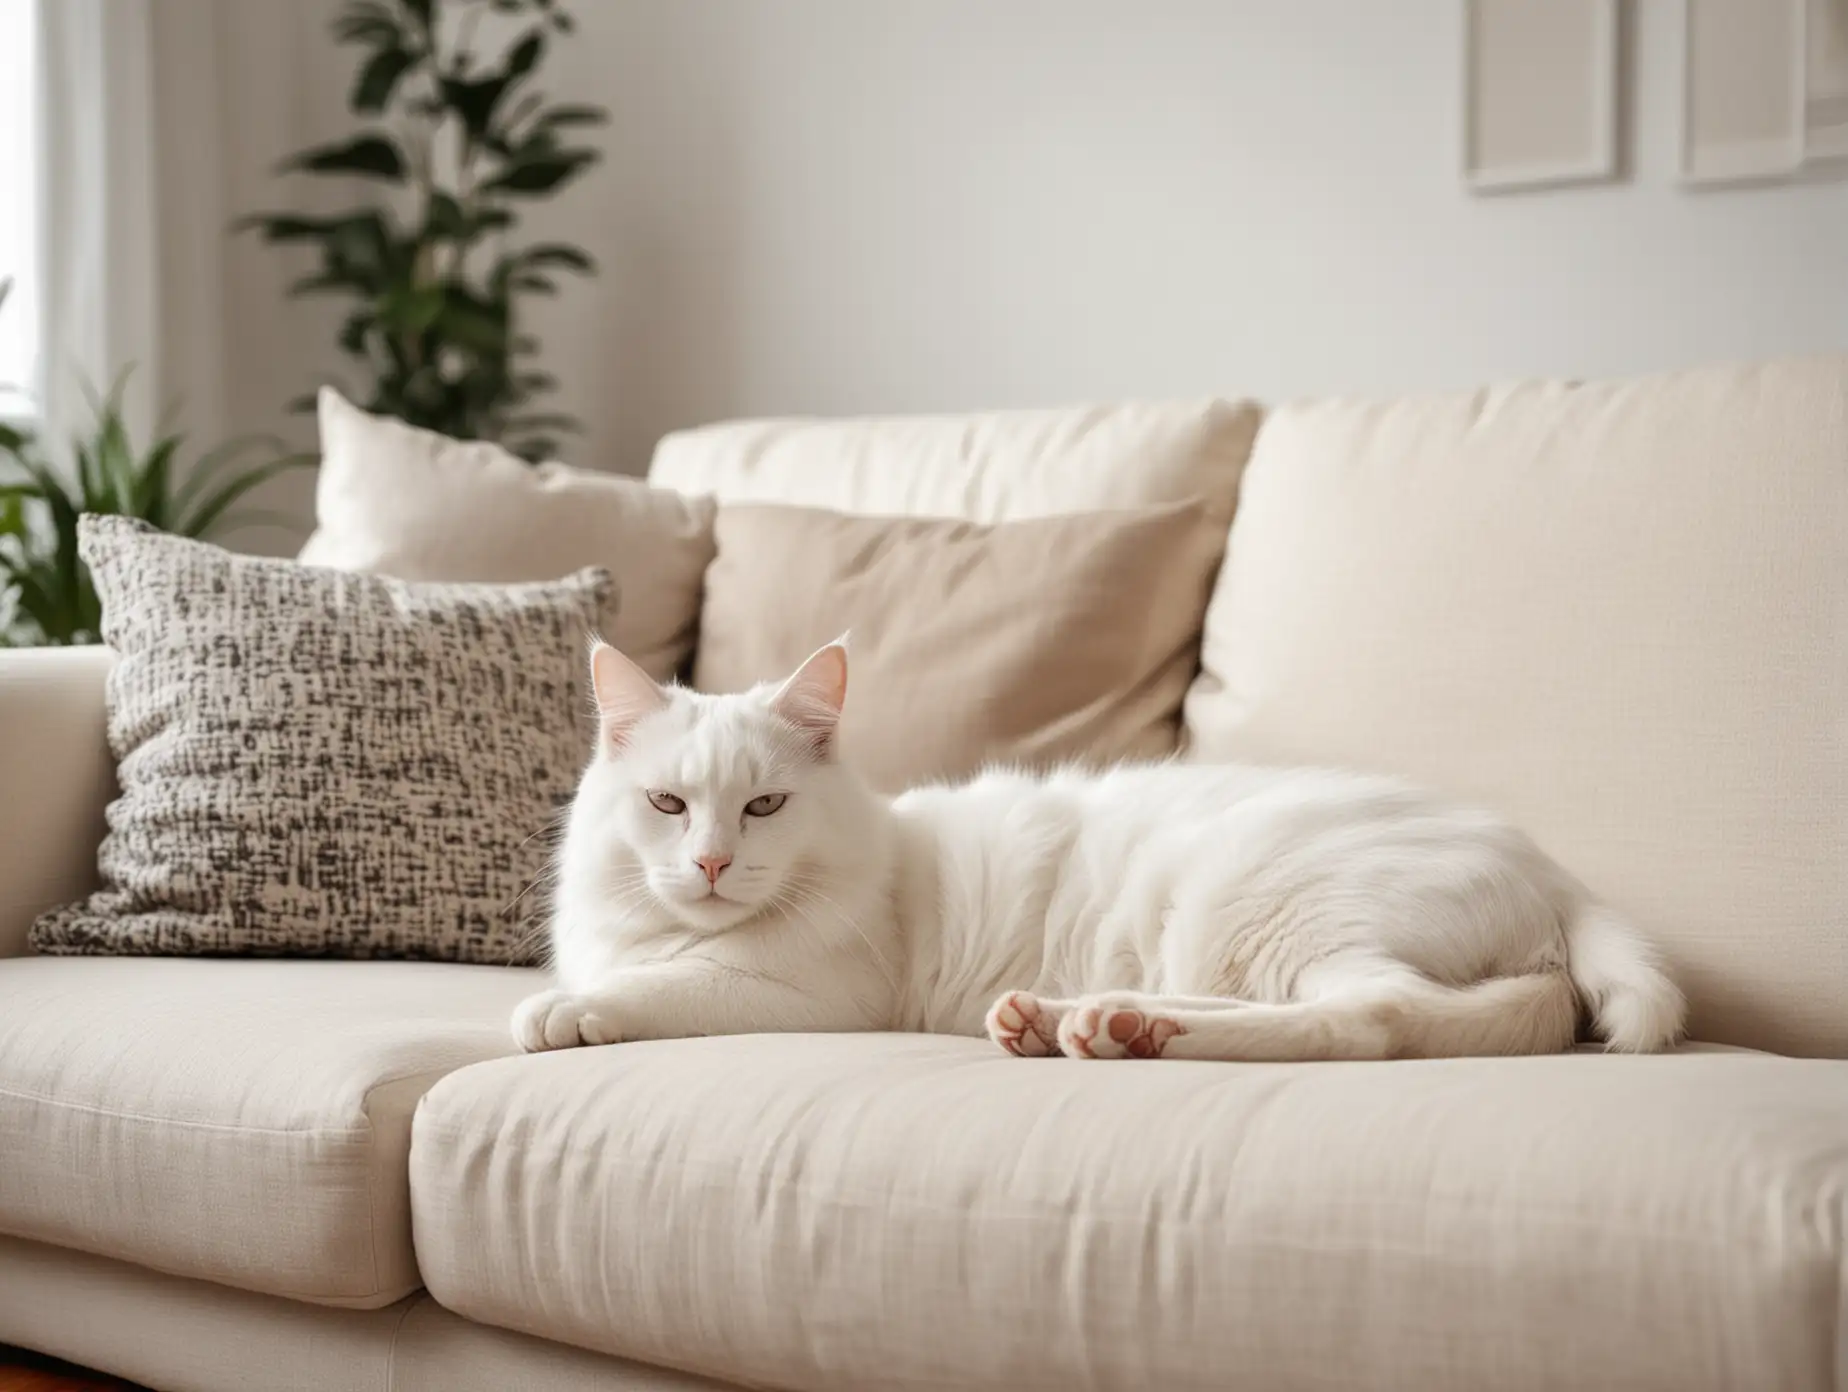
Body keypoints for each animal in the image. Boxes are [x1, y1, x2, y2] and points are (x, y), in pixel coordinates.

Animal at [517, 643, 1692, 1064]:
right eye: (668, 804)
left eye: (763, 807)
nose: (713, 864)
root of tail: (1559, 877)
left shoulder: (810, 999)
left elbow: (667, 989)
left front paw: (568, 1011)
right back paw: (1085, 1021)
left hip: (1269, 903)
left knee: (1372, 1019)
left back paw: (1124, 1030)